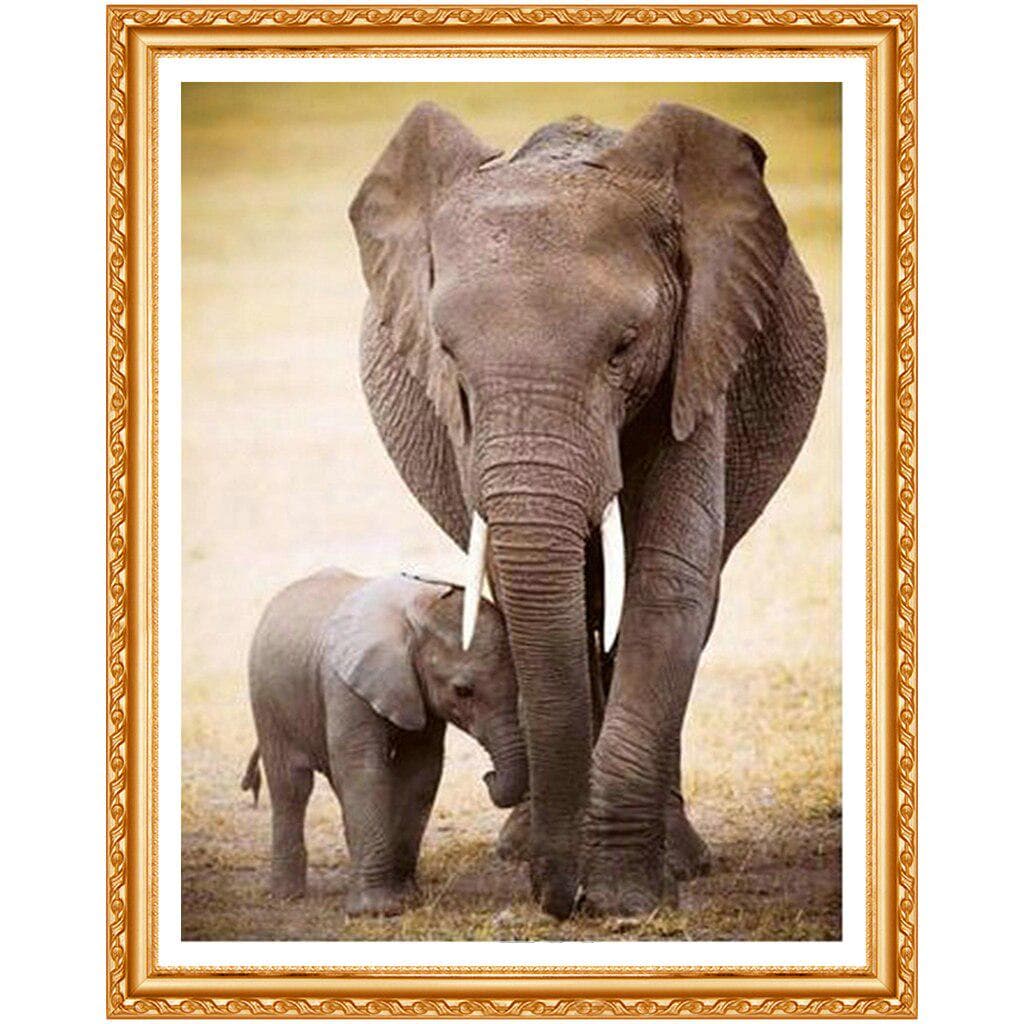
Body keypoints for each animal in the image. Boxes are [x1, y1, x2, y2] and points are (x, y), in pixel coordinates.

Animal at [242, 569, 527, 916]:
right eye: (463, 691)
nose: (488, 776)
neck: (416, 612)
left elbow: (420, 769)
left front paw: (406, 897)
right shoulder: (345, 684)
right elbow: (364, 768)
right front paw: (376, 910)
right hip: (266, 698)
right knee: (291, 786)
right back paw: (287, 896)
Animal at [349, 102, 827, 919]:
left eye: (625, 346)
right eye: (448, 354)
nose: (557, 899)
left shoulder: (701, 350)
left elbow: (670, 580)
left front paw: (626, 899)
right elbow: (542, 595)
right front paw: (580, 876)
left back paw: (678, 858)